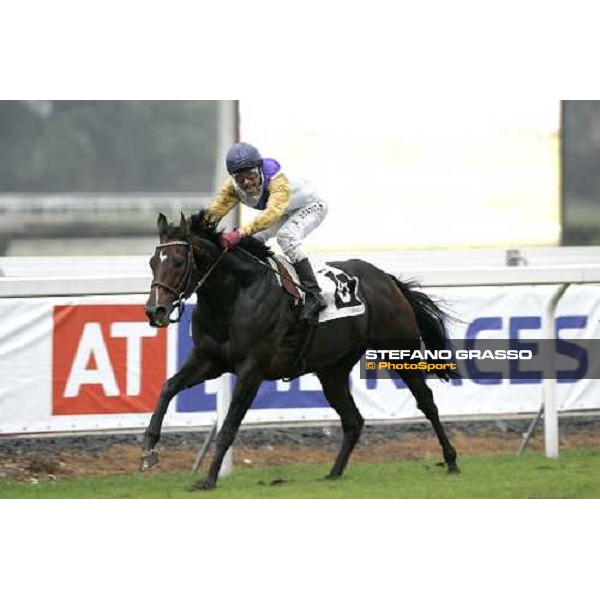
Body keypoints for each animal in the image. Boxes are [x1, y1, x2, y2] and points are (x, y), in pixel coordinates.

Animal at [142, 213, 460, 490]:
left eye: (179, 262)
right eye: (152, 262)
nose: (155, 310)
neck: (235, 296)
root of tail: (386, 279)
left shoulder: (251, 369)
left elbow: (229, 425)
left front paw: (208, 480)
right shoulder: (208, 360)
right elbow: (168, 388)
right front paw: (148, 449)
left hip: (399, 350)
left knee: (427, 403)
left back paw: (451, 461)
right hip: (332, 370)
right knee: (353, 420)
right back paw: (334, 473)